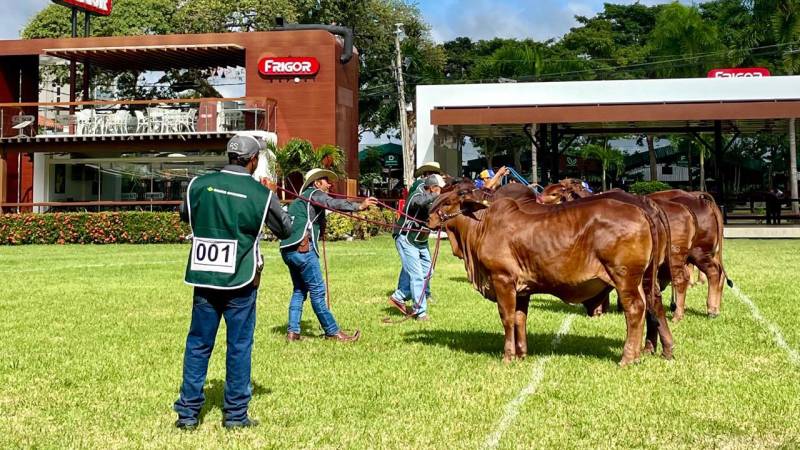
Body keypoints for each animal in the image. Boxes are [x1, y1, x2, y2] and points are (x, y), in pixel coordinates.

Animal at [428, 180, 672, 366]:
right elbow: (520, 318)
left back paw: (628, 357)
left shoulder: (502, 279)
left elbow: (507, 317)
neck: (482, 225)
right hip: (641, 279)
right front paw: (521, 354)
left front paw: (508, 356)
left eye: (448, 201)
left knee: (636, 309)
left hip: (624, 278)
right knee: (649, 306)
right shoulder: (522, 289)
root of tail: (641, 209)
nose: (429, 217)